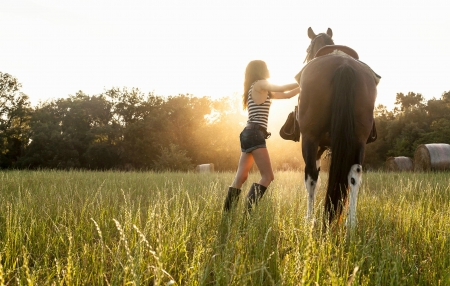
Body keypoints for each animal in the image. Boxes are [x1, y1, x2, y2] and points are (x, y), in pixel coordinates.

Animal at [298, 26, 380, 228]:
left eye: (307, 50)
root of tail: (344, 65)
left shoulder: (316, 144)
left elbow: (314, 176)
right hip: (359, 140)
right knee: (355, 174)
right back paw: (351, 224)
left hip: (310, 138)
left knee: (311, 176)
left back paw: (310, 220)